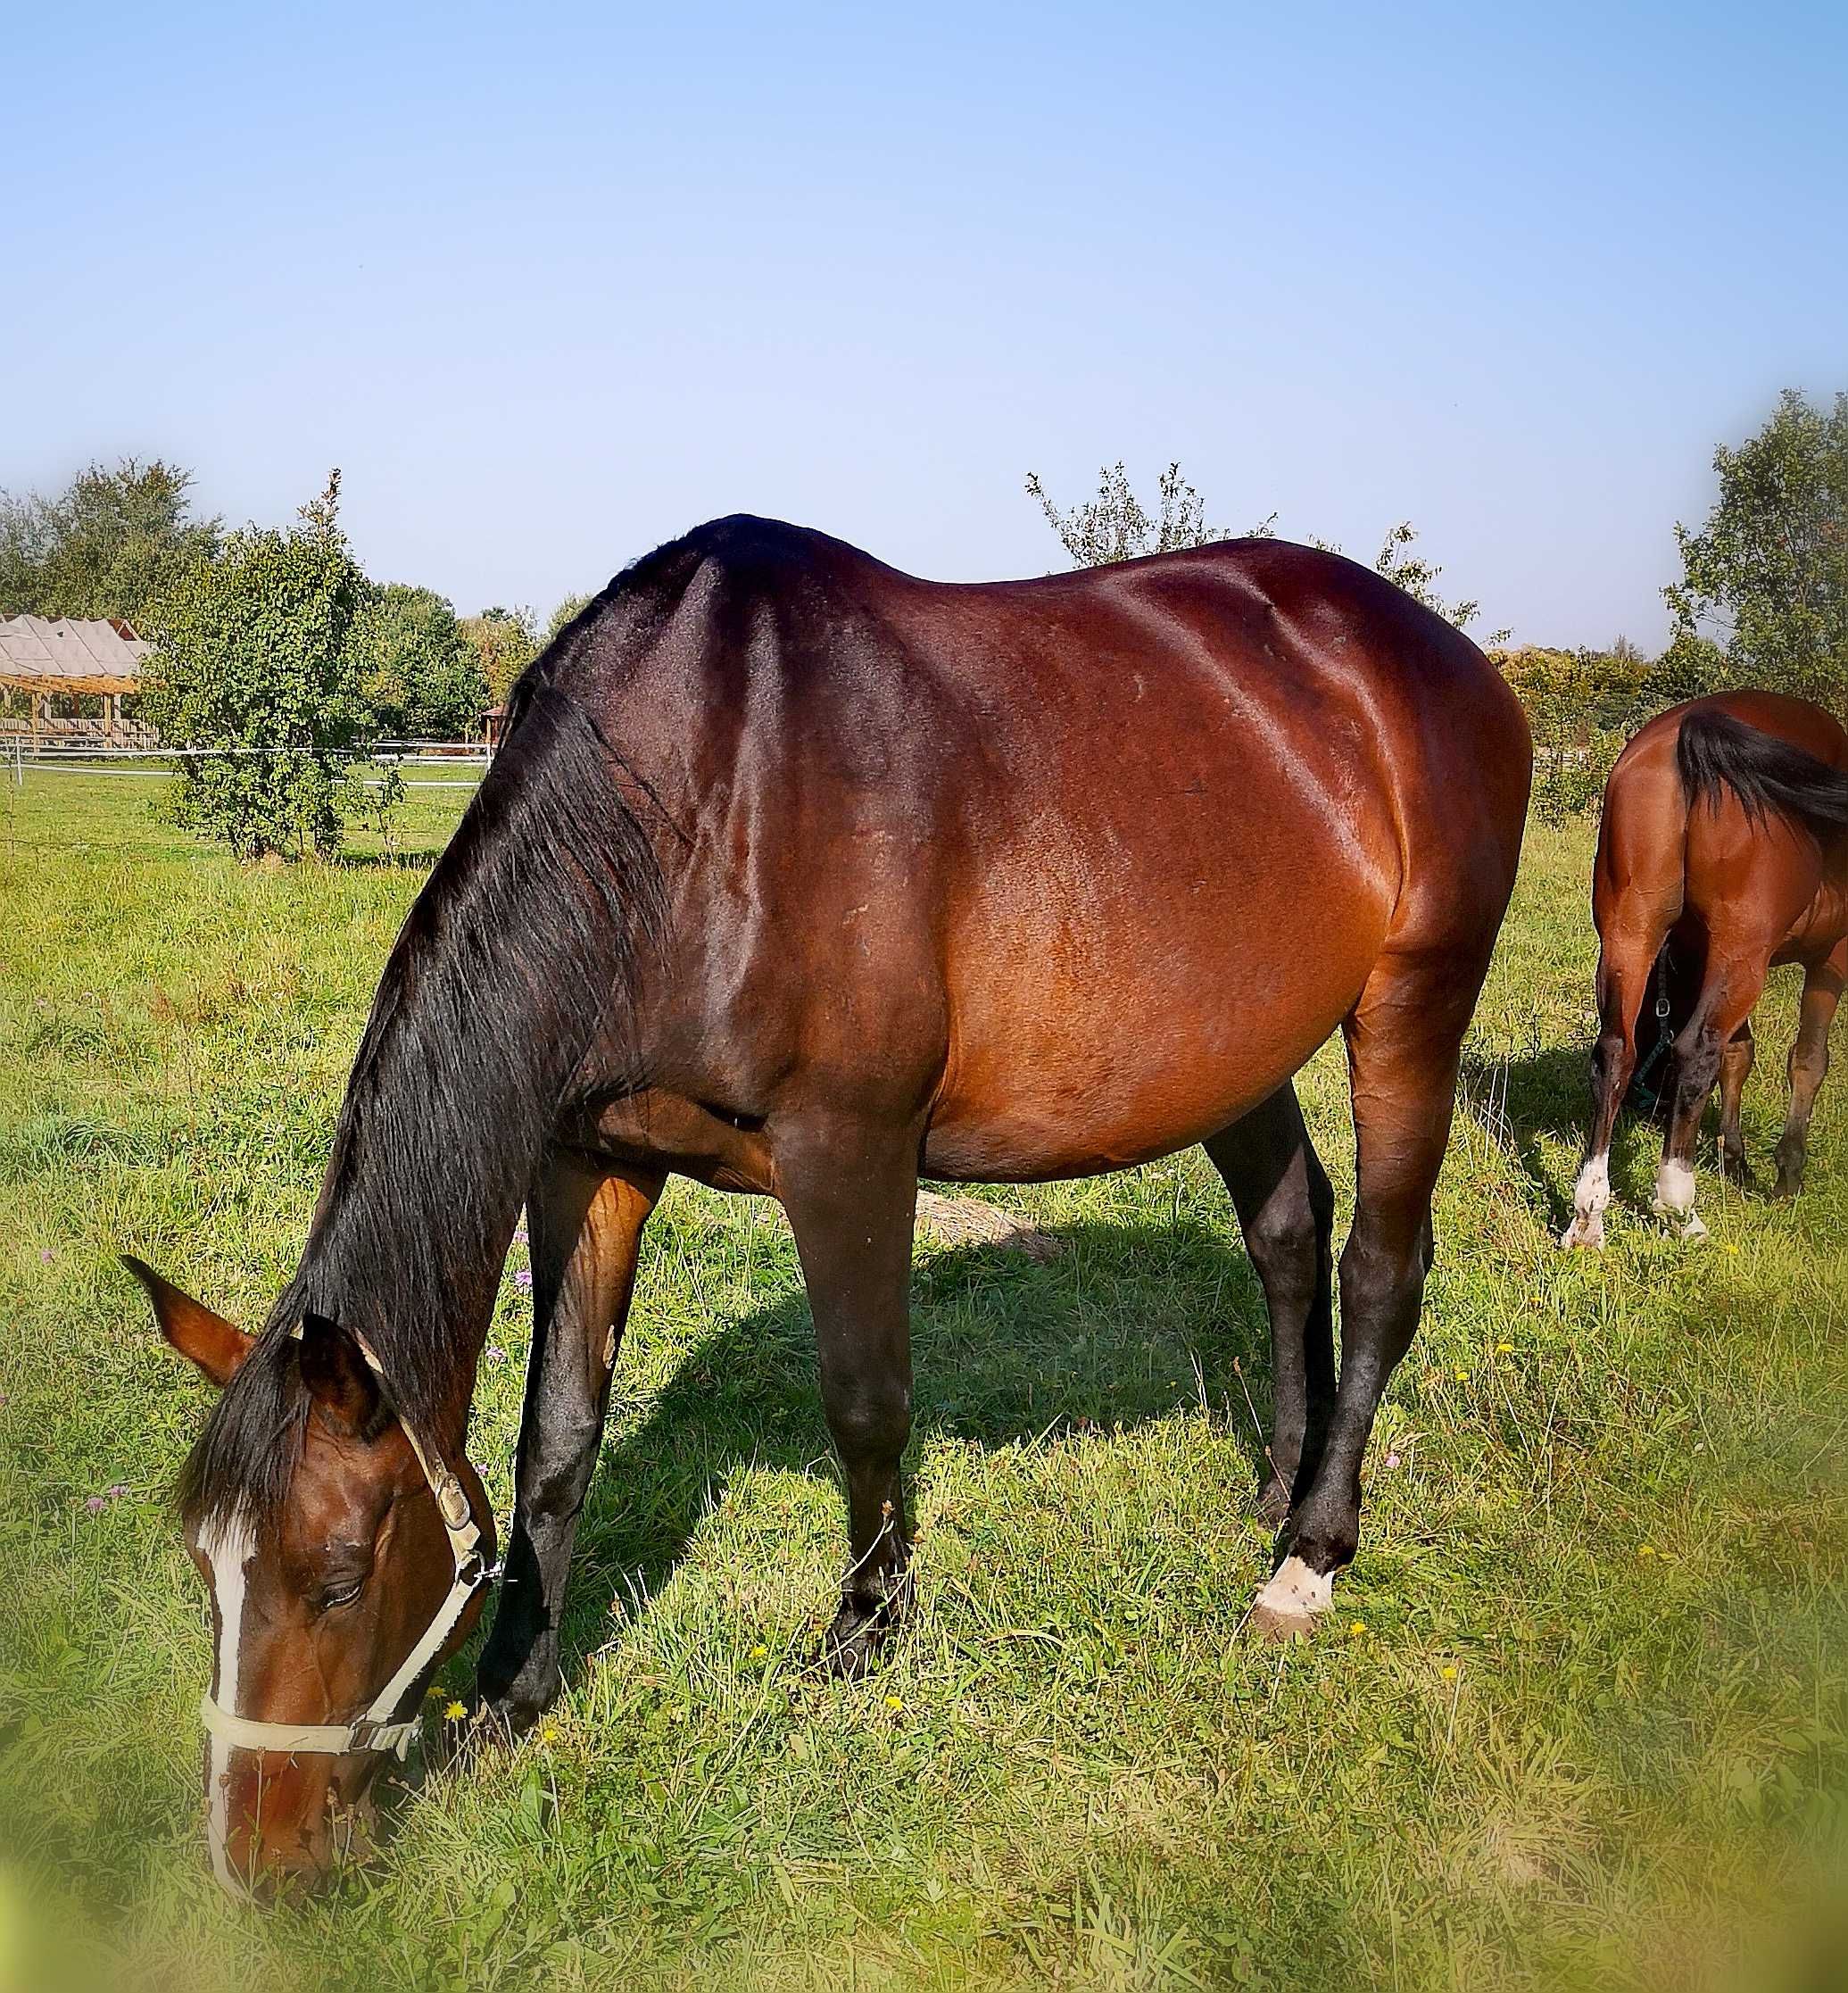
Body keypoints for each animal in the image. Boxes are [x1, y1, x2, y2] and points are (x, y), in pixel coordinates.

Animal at [1562, 689, 1848, 1243]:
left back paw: (1589, 1212)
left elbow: (1739, 1053)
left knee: (1615, 1051)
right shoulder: (1830, 959)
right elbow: (1807, 1060)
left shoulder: (1700, 957)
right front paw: (1787, 1174)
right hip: (1742, 954)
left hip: (1631, 932)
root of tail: (1689, 731)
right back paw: (1678, 1204)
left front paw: (1734, 1158)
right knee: (1695, 1052)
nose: (1651, 1105)